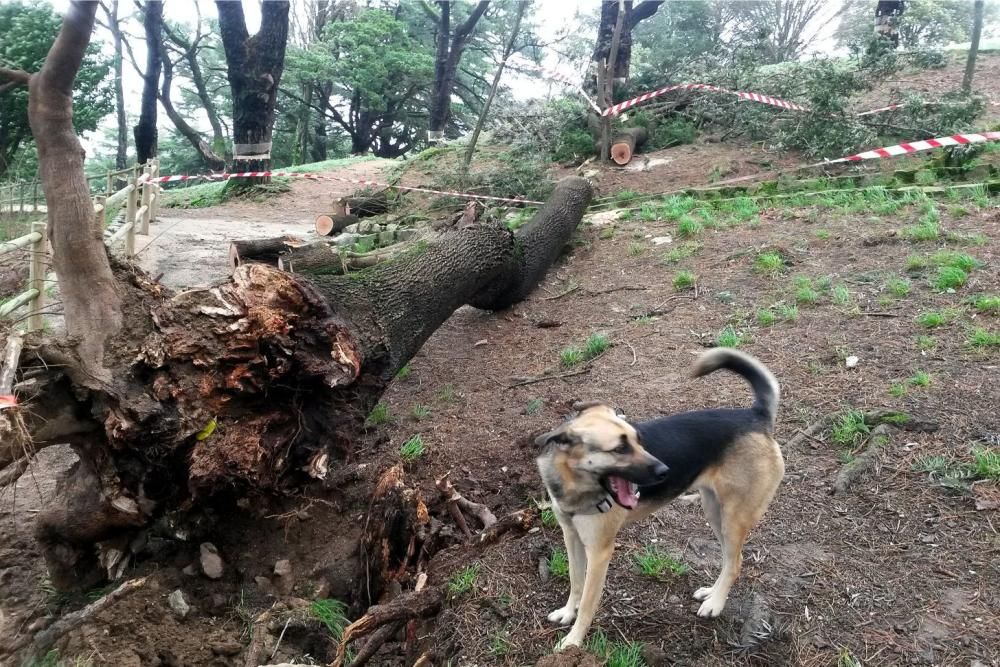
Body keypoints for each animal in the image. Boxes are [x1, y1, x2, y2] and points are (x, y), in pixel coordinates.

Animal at [536, 348, 784, 648]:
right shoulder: (571, 537)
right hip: (714, 511)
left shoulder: (599, 552)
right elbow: (575, 583)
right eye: (620, 448)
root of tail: (755, 415)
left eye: (638, 439)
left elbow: (587, 603)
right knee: (729, 559)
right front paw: (567, 613)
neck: (575, 481)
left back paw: (715, 604)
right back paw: (711, 593)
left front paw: (573, 641)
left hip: (734, 518)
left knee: (735, 563)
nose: (665, 470)